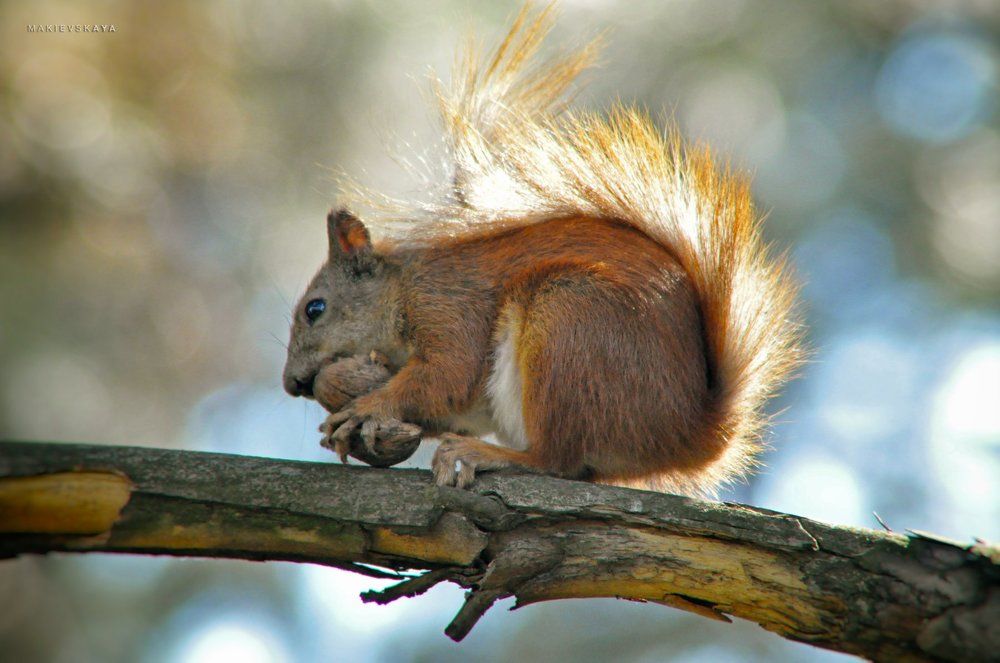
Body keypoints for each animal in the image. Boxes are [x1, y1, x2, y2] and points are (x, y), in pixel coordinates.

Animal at [281, 5, 803, 495]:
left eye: (315, 309)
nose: (291, 384)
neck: (400, 291)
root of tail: (688, 434)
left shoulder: (448, 306)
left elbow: (446, 375)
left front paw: (366, 406)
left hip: (568, 326)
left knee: (558, 460)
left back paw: (487, 454)